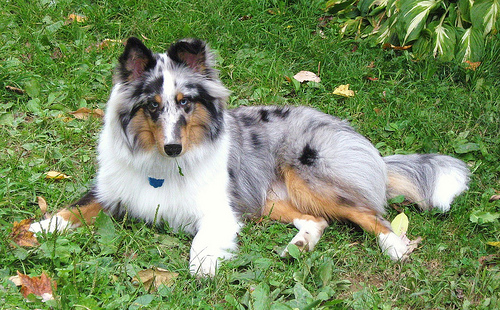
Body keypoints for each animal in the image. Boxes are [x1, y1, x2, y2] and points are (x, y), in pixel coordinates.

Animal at [29, 37, 470, 278]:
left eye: (185, 102)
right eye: (152, 106)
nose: (173, 147)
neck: (163, 166)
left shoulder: (218, 209)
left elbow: (203, 241)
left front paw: (204, 266)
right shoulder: (112, 193)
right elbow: (75, 209)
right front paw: (38, 229)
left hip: (308, 177)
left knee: (367, 213)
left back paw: (394, 246)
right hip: (269, 200)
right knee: (317, 220)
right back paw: (299, 246)